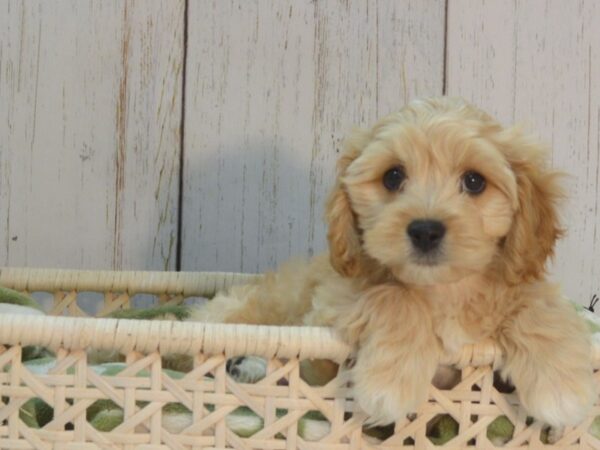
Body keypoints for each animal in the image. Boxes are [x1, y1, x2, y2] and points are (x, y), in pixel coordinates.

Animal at [195, 96, 596, 428]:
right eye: (392, 176)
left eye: (474, 181)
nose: (425, 231)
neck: (443, 291)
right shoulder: (328, 318)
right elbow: (392, 296)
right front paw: (390, 384)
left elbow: (538, 302)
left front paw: (561, 388)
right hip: (253, 310)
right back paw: (243, 363)